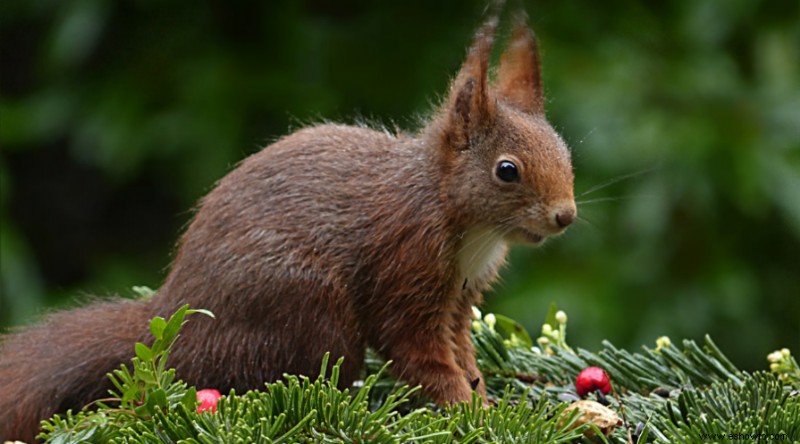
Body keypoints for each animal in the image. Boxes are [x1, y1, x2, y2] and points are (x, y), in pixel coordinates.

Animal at [0, 10, 576, 440]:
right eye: (507, 170)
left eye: (565, 151)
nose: (565, 215)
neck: (459, 217)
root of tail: (174, 315)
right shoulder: (405, 270)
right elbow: (423, 357)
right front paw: (469, 411)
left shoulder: (460, 298)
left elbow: (464, 353)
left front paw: (491, 401)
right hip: (307, 307)